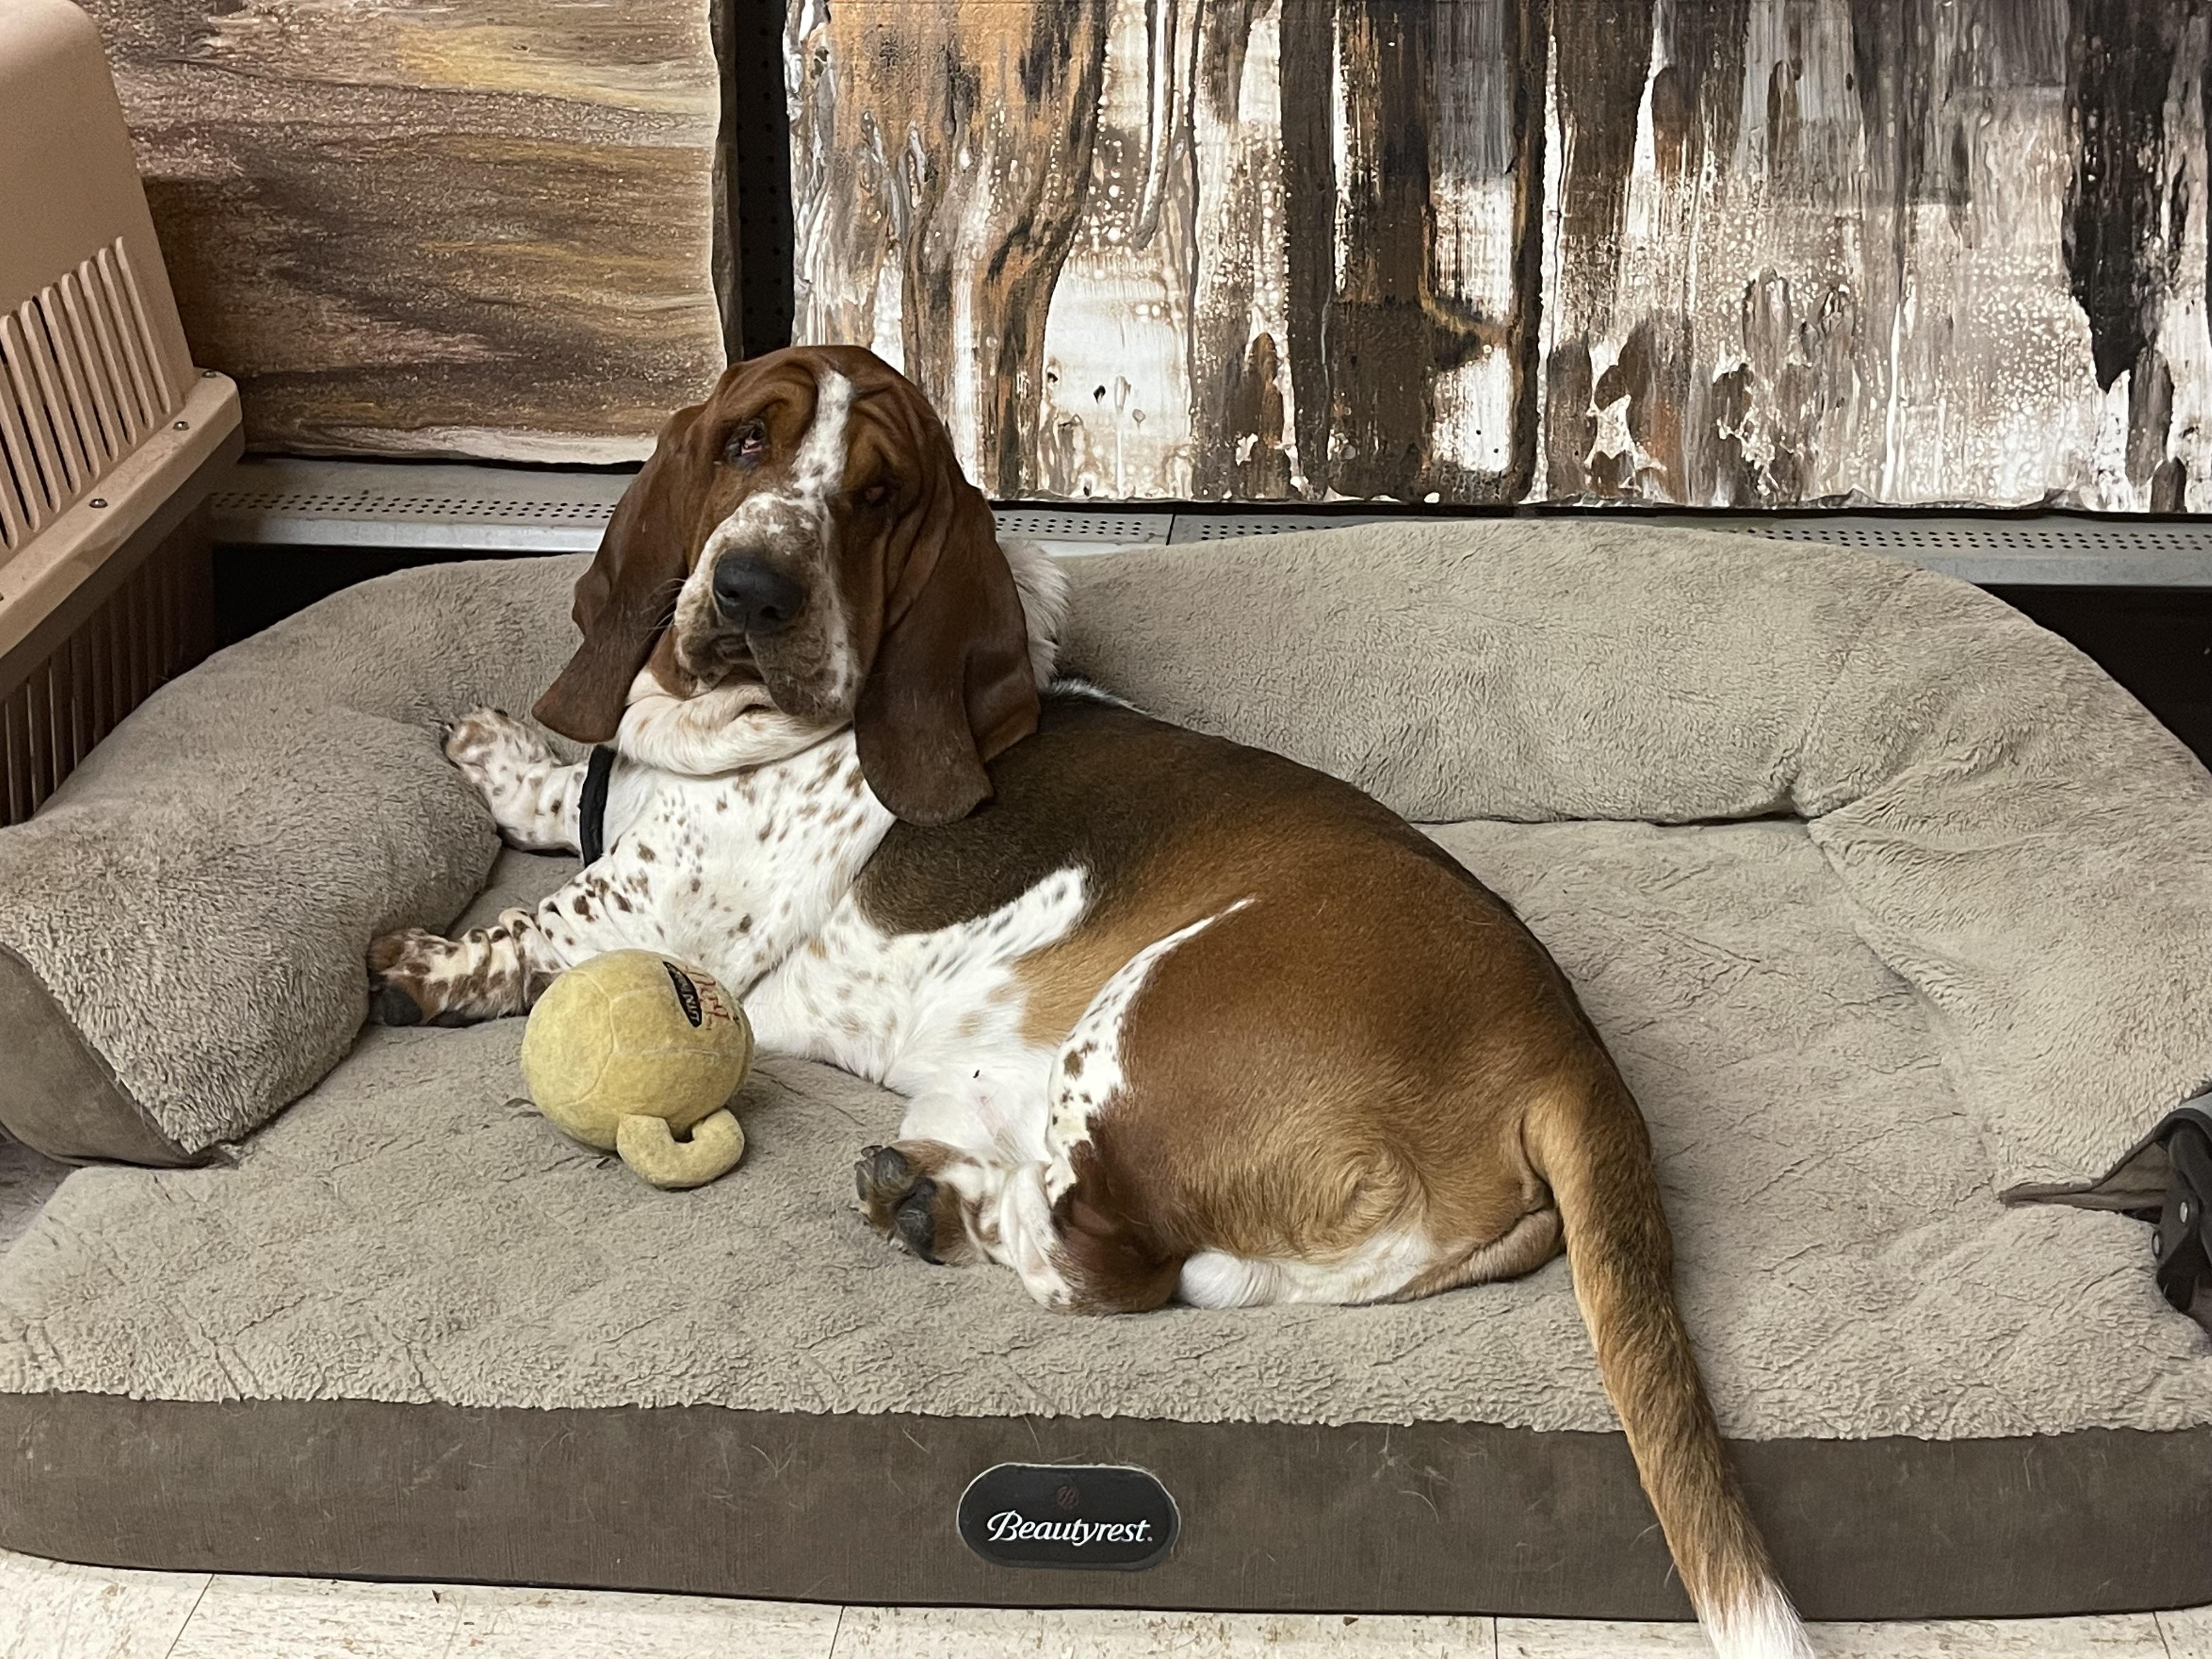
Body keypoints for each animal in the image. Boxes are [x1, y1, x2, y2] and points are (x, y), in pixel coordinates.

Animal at [366, 345, 1809, 1659]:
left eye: (877, 498)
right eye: (743, 445)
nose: (752, 588)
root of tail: (1566, 1050)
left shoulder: (658, 912)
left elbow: (542, 927)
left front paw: (424, 963)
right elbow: (569, 795)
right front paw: (501, 755)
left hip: (1142, 1013)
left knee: (1105, 1265)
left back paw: (928, 1202)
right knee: (1178, 1268)